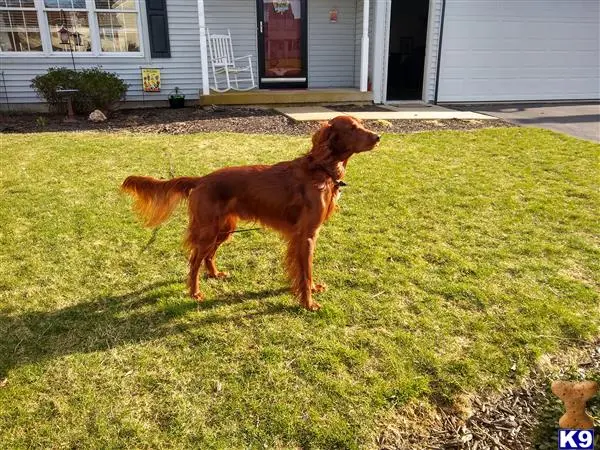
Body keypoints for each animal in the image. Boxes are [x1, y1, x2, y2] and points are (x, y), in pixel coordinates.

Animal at [122, 117, 380, 310]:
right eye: (352, 128)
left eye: (361, 124)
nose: (378, 137)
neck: (321, 169)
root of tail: (201, 180)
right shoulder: (306, 235)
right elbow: (305, 272)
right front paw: (308, 303)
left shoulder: (306, 237)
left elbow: (307, 271)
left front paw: (313, 290)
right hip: (208, 230)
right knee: (194, 261)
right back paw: (195, 293)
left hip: (224, 228)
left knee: (208, 256)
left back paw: (215, 274)